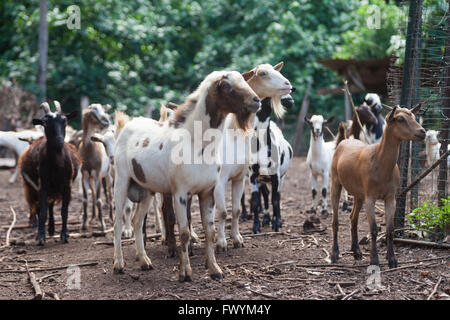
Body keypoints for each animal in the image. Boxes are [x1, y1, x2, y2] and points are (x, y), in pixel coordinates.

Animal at [330, 104, 426, 268]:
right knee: (335, 220)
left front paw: (392, 260)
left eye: (413, 116)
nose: (422, 132)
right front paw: (374, 260)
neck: (380, 164)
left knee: (353, 217)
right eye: (400, 119)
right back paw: (334, 254)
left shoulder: (390, 196)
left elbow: (390, 229)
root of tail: (343, 142)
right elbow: (374, 229)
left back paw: (356, 252)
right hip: (335, 182)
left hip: (358, 193)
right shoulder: (371, 196)